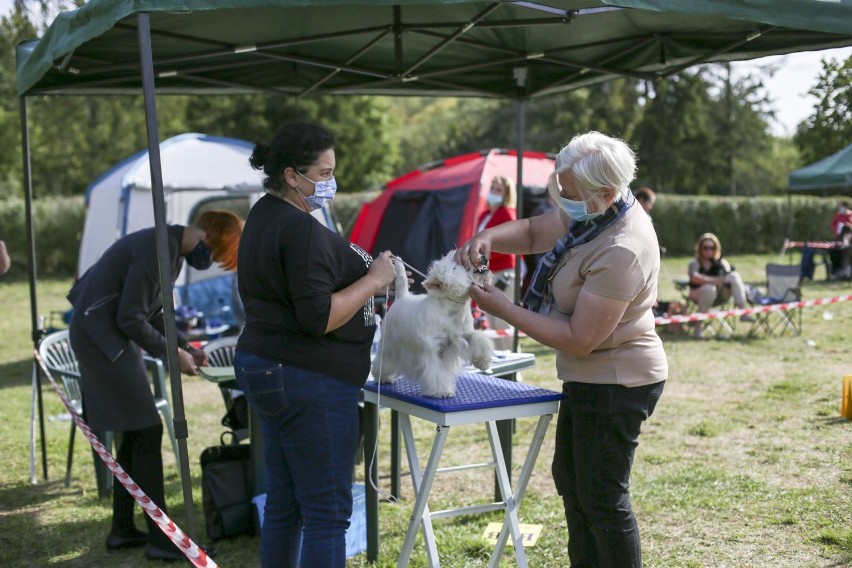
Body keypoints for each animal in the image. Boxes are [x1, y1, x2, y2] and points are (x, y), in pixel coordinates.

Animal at [372, 251, 492, 398]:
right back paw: (383, 377)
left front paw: (483, 361)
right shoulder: (433, 350)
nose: (483, 257)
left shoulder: (464, 333)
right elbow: (436, 373)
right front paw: (442, 391)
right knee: (384, 361)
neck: (452, 310)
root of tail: (401, 298)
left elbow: (478, 340)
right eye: (458, 265)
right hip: (389, 343)